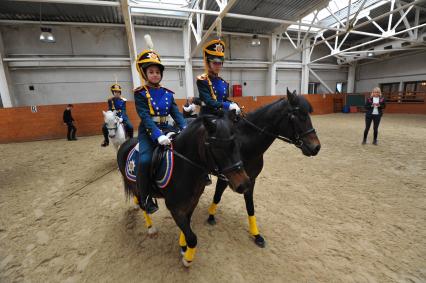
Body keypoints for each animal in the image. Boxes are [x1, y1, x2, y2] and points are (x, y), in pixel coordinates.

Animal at [116, 112, 250, 268]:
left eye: (237, 144)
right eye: (217, 148)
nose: (244, 184)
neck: (185, 167)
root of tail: (124, 144)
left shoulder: (192, 202)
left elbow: (187, 228)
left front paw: (183, 248)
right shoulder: (174, 208)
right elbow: (192, 237)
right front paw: (187, 259)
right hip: (135, 186)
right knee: (143, 204)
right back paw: (150, 227)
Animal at [206, 90, 320, 247]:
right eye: (297, 116)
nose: (316, 147)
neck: (244, 144)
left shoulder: (250, 180)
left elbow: (250, 207)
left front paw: (256, 235)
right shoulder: (225, 178)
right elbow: (217, 196)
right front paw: (210, 217)